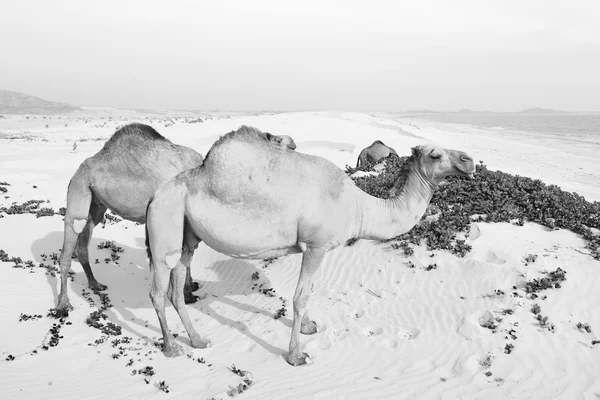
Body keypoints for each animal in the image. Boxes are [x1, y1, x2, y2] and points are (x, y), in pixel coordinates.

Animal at [57, 123, 296, 310]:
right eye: (276, 140)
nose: (293, 143)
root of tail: (82, 166)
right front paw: (188, 294)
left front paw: (190, 288)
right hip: (78, 188)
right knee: (68, 245)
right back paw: (62, 304)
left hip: (95, 203)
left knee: (83, 240)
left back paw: (95, 284)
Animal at [144, 126, 474, 364]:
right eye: (435, 155)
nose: (468, 160)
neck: (358, 206)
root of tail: (155, 196)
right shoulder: (315, 245)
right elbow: (301, 296)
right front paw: (296, 355)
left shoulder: (318, 249)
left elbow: (310, 291)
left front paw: (309, 326)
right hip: (164, 222)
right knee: (158, 290)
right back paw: (171, 348)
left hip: (186, 233)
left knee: (177, 280)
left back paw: (198, 340)